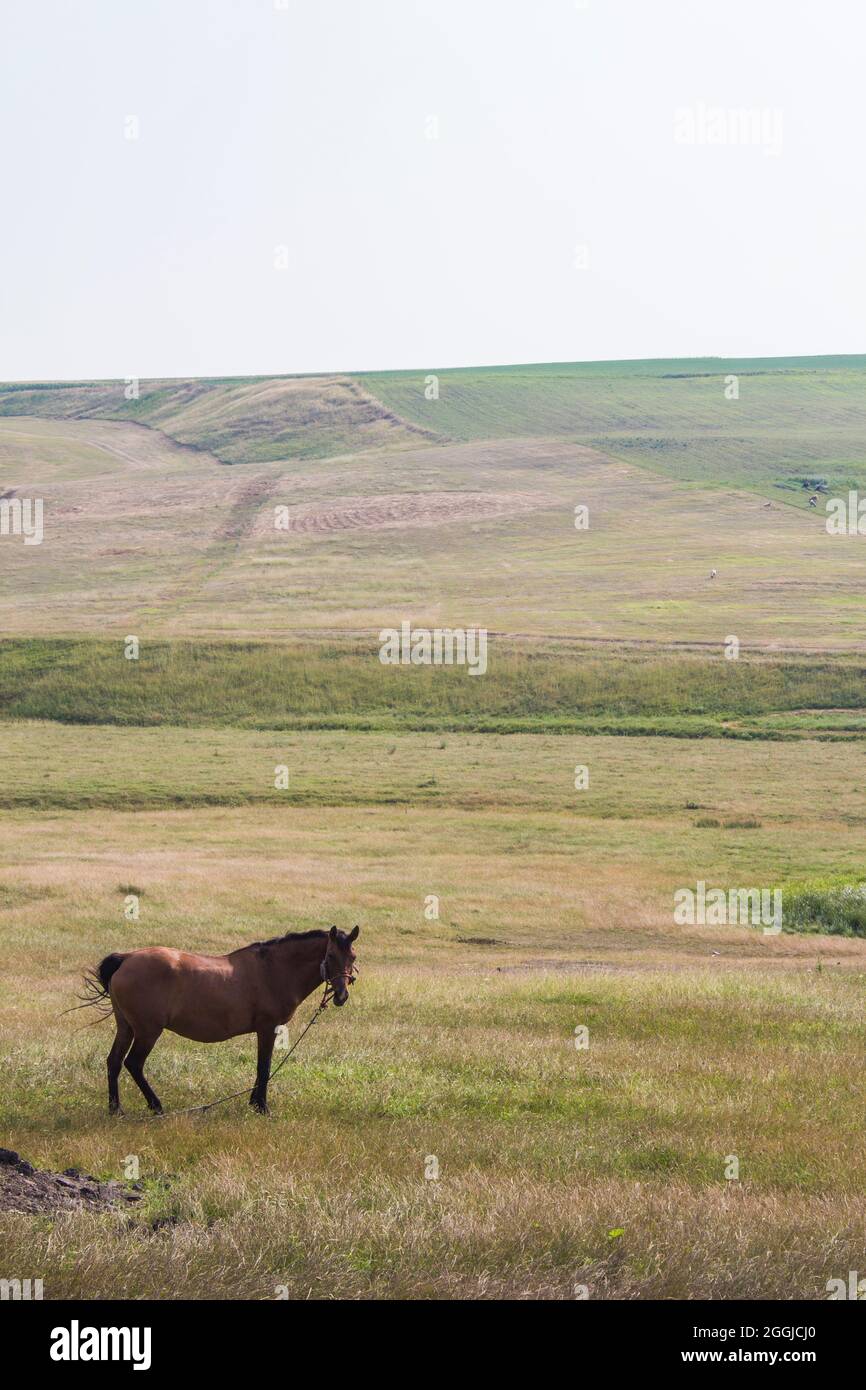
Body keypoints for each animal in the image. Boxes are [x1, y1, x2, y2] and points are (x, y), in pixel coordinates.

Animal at [82, 925, 359, 1116]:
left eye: (353, 957)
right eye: (330, 956)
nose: (341, 995)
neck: (273, 969)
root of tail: (126, 959)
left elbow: (261, 1067)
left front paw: (254, 1103)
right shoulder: (267, 1028)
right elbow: (264, 1066)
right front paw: (262, 1107)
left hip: (126, 1027)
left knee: (114, 1062)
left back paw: (115, 1109)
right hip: (148, 1031)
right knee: (133, 1063)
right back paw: (156, 1106)